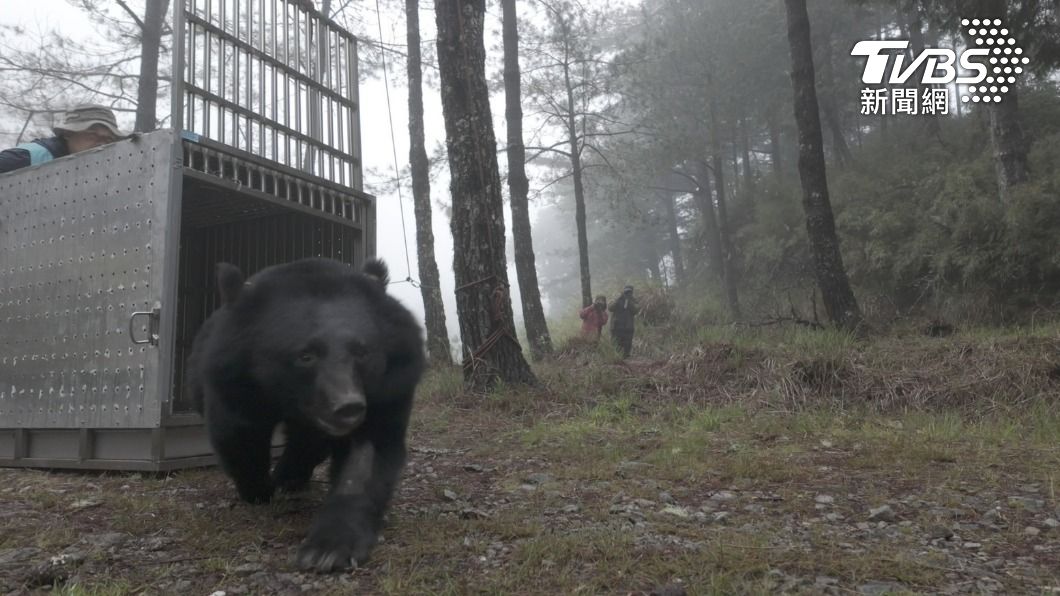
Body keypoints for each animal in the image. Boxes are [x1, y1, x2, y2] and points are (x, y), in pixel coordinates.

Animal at [185, 257, 426, 572]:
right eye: (305, 356)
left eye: (362, 352)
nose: (348, 407)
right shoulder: (235, 380)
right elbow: (239, 433)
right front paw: (257, 490)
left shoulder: (389, 385)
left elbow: (368, 454)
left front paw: (327, 550)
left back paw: (291, 476)